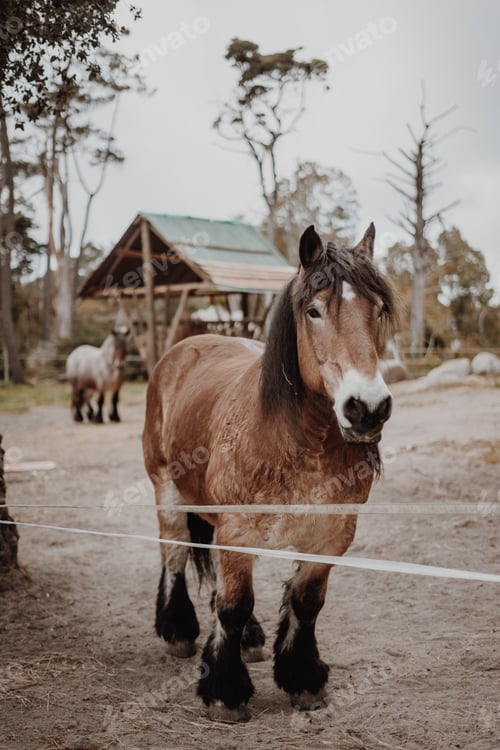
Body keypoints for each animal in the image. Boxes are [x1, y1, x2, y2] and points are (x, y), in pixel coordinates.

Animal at [142, 224, 399, 722]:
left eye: (377, 309)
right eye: (315, 310)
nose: (368, 409)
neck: (300, 444)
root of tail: (182, 349)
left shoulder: (331, 537)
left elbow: (306, 602)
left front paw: (303, 680)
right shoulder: (237, 530)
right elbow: (233, 605)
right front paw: (225, 692)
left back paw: (251, 640)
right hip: (167, 490)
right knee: (175, 555)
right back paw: (179, 631)